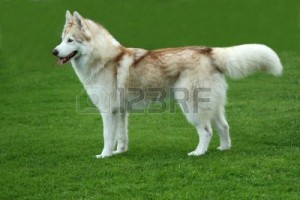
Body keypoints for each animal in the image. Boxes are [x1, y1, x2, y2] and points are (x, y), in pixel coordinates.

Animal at [52, 10, 282, 159]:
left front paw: (105, 155)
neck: (104, 59)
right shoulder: (121, 112)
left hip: (191, 108)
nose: (54, 51)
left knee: (206, 131)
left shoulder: (108, 112)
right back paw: (223, 149)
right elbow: (121, 136)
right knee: (224, 127)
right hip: (212, 107)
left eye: (71, 40)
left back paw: (198, 153)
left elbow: (107, 136)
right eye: (62, 39)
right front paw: (119, 152)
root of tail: (209, 51)